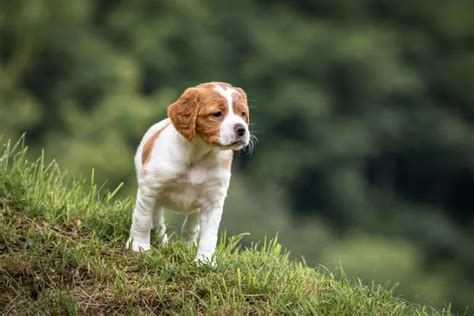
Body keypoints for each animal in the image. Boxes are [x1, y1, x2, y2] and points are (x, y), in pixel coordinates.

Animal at [126, 82, 252, 264]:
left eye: (243, 114)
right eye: (217, 114)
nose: (242, 129)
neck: (200, 153)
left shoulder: (213, 200)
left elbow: (209, 235)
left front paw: (205, 261)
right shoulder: (151, 188)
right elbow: (142, 219)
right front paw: (139, 247)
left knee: (190, 225)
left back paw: (187, 246)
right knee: (154, 219)